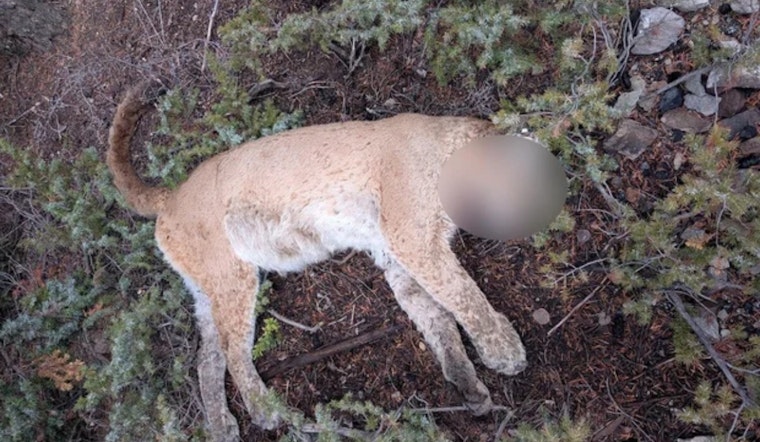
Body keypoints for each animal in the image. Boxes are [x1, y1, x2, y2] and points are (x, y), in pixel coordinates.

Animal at [107, 84, 527, 441]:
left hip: (207, 289)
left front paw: (467, 382)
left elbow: (437, 317)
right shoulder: (413, 237)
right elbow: (462, 294)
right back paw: (267, 410)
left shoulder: (397, 254)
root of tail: (172, 194)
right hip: (233, 276)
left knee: (207, 358)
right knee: (232, 350)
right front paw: (504, 351)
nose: (526, 218)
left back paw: (222, 426)